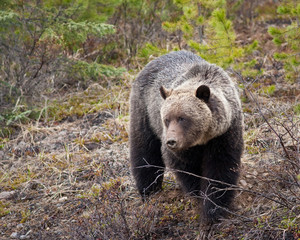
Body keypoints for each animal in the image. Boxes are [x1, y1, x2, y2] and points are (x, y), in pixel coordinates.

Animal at [129, 50, 244, 225]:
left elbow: (221, 169)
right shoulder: (182, 149)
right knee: (145, 152)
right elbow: (186, 169)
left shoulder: (225, 135)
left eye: (182, 118)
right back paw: (149, 191)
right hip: (144, 113)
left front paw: (214, 209)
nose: (171, 141)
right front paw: (199, 194)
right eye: (166, 119)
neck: (203, 139)